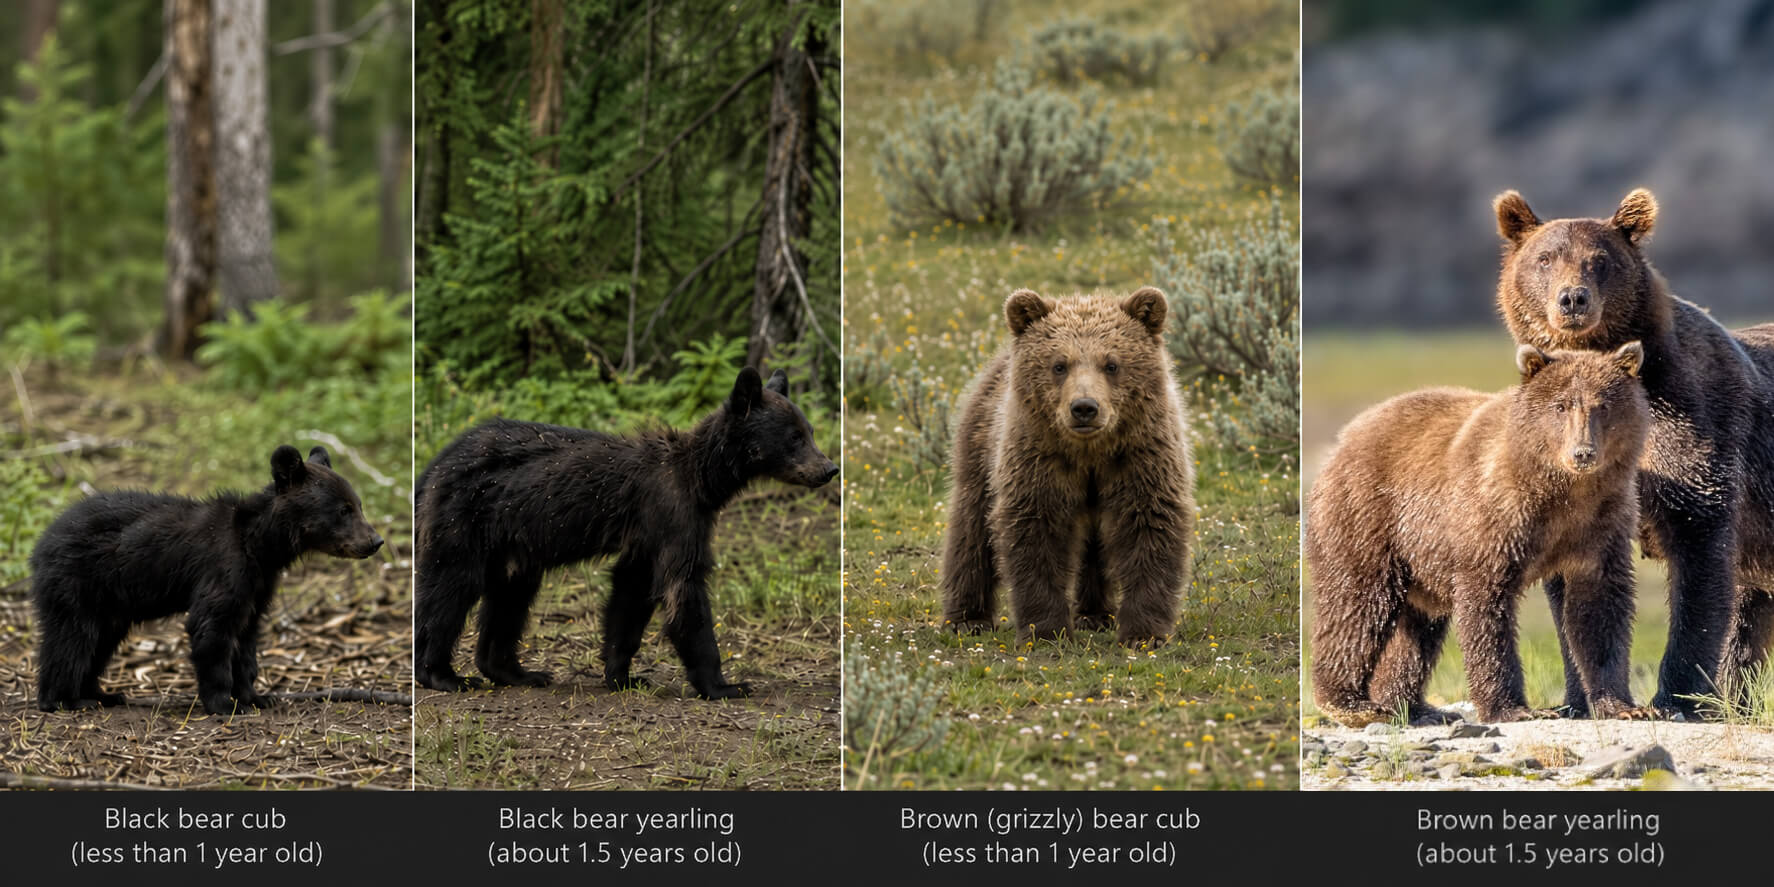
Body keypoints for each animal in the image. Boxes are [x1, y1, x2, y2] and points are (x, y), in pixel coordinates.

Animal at [30, 445, 384, 715]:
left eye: (359, 505)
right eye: (343, 510)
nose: (375, 541)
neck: (260, 546)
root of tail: (42, 542)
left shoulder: (258, 585)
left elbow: (247, 639)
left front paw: (257, 696)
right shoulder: (225, 569)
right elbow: (211, 627)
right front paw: (224, 703)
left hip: (110, 603)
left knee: (100, 643)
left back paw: (103, 694)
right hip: (77, 584)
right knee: (71, 639)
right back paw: (65, 699)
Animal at [412, 367, 838, 699]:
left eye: (810, 430)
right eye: (794, 437)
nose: (829, 468)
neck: (701, 480)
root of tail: (432, 468)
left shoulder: (649, 535)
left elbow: (631, 594)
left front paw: (623, 675)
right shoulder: (674, 514)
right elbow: (683, 590)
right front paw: (725, 685)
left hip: (511, 541)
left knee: (510, 595)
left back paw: (517, 671)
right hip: (464, 523)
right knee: (451, 589)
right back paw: (443, 674)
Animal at [939, 287, 1195, 648]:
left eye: (1112, 364)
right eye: (1059, 364)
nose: (1084, 407)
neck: (1090, 451)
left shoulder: (1140, 457)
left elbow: (1149, 524)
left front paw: (1144, 633)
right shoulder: (1039, 461)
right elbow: (1036, 533)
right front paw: (1046, 631)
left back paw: (1094, 613)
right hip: (981, 444)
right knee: (971, 529)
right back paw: (967, 619)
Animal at [1308, 342, 1651, 726]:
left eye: (1602, 405)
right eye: (1560, 406)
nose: (1583, 452)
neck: (1564, 492)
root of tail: (1344, 439)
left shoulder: (1600, 525)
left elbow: (1599, 608)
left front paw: (1625, 706)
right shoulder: (1496, 516)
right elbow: (1487, 605)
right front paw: (1513, 708)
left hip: (1419, 562)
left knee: (1417, 629)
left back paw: (1414, 707)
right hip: (1370, 517)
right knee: (1359, 603)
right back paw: (1352, 703)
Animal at [1493, 188, 1774, 717]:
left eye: (1599, 260)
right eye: (1545, 258)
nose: (1573, 299)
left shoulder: (1693, 430)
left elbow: (1700, 558)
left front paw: (1677, 695)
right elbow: (1573, 585)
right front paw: (1578, 700)